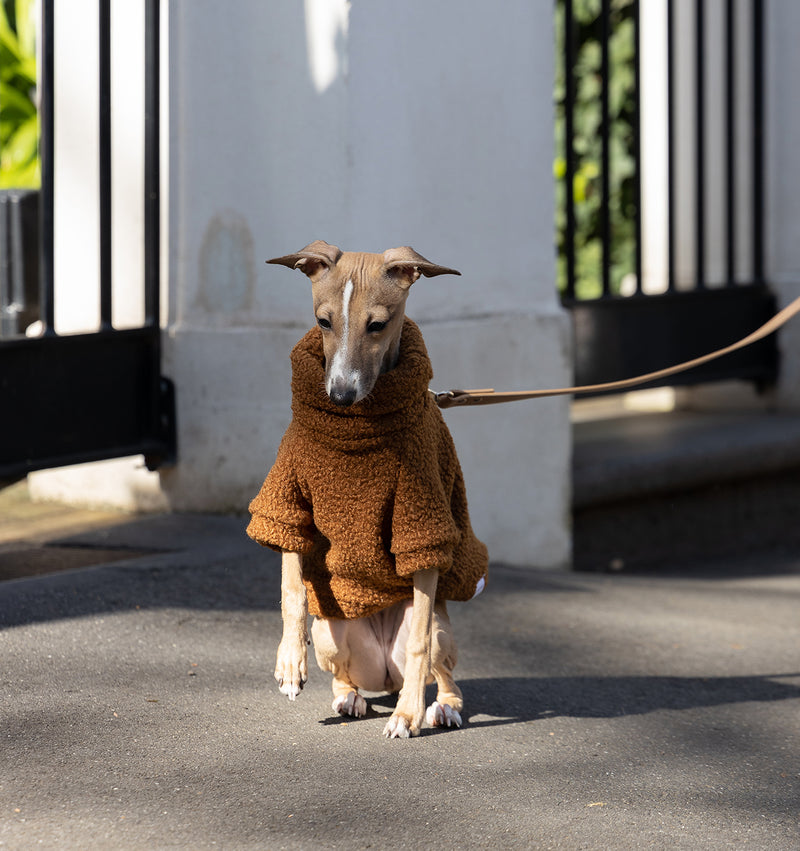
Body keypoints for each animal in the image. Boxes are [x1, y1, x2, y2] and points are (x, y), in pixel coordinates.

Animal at [250, 241, 488, 740]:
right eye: (323, 322)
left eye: (376, 325)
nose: (340, 395)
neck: (357, 426)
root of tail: (383, 674)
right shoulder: (290, 500)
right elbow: (291, 589)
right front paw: (289, 663)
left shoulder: (421, 523)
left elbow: (418, 641)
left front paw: (408, 715)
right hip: (330, 631)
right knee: (342, 674)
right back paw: (348, 698)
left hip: (439, 628)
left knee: (443, 672)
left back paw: (437, 706)